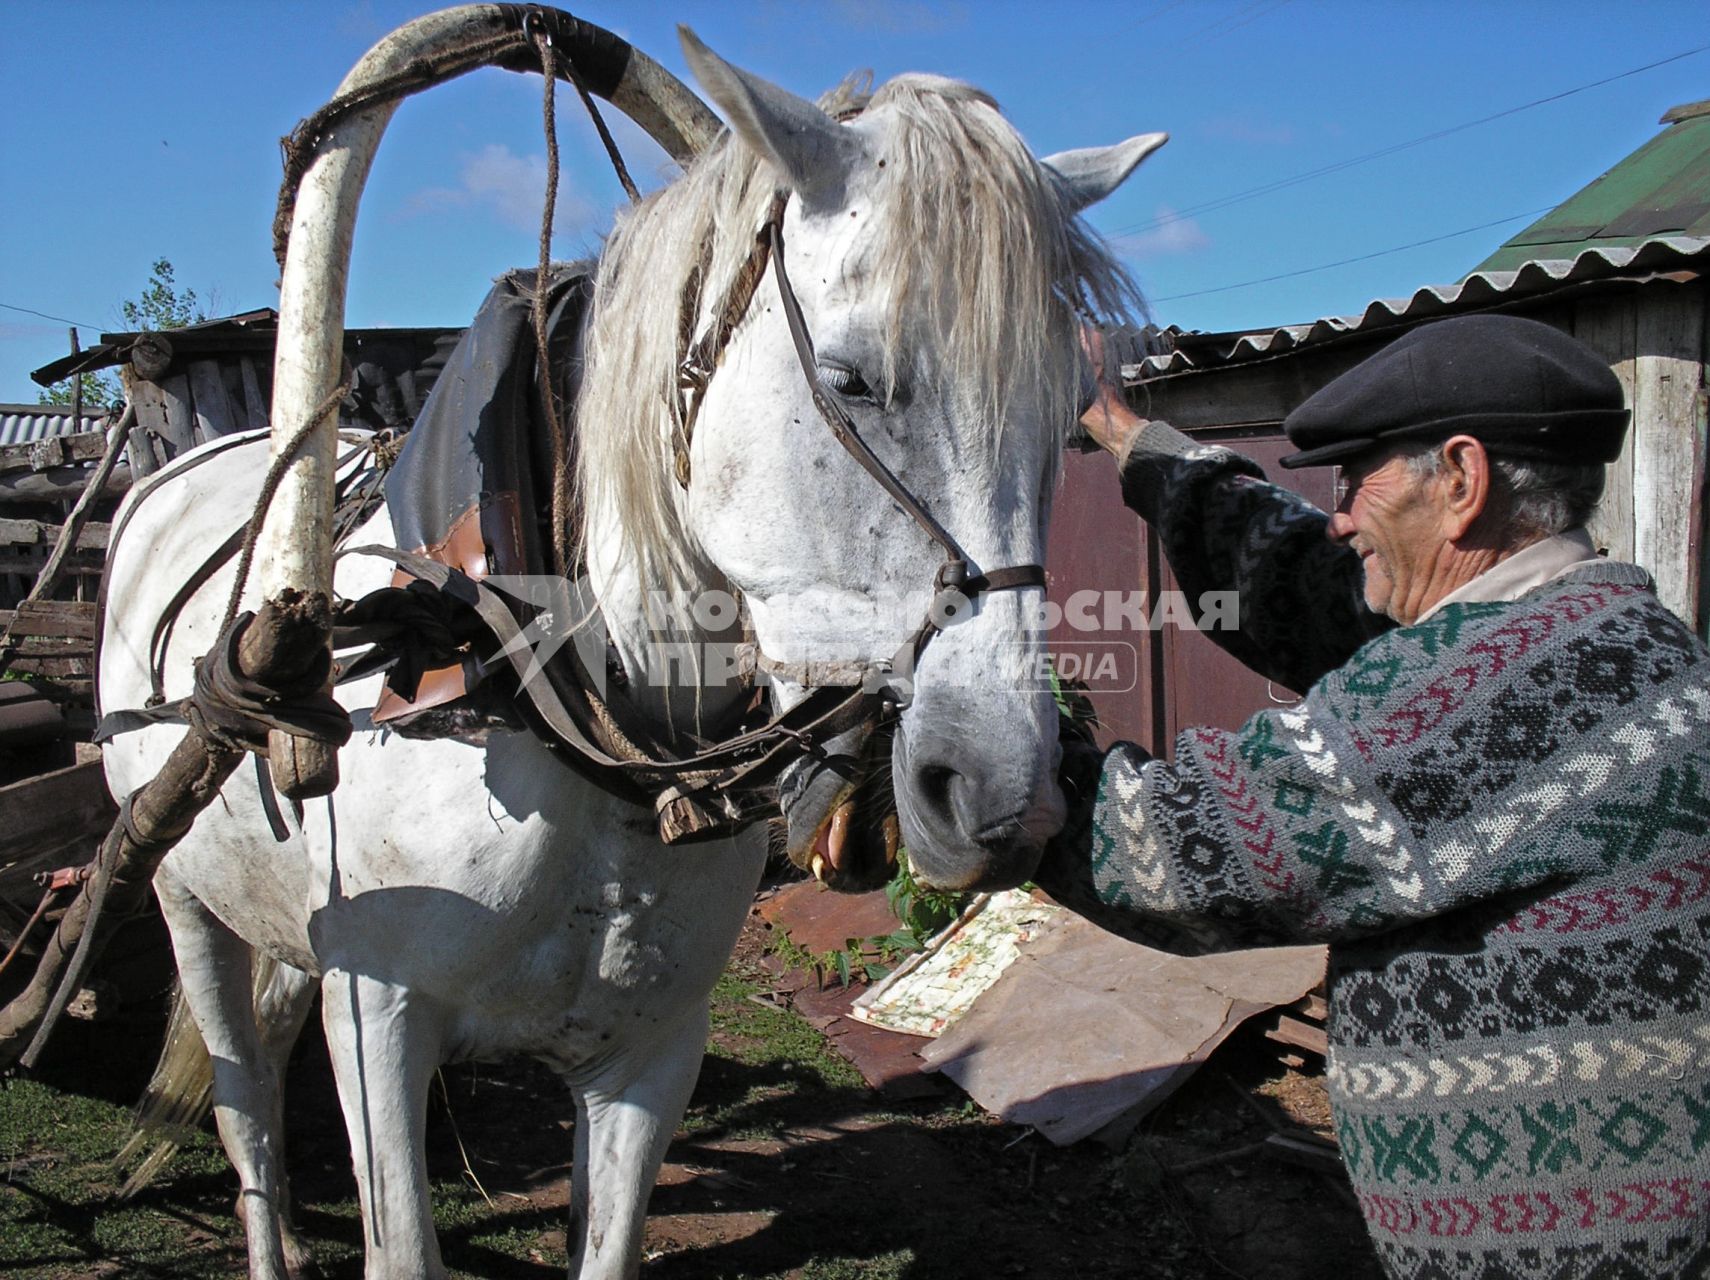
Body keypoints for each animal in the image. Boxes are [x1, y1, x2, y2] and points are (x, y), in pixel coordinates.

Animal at [97, 29, 1162, 1278]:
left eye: (1067, 411)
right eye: (852, 380)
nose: (1003, 792)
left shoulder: (652, 1051)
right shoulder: (374, 1018)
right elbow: (393, 1233)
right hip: (184, 900)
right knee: (247, 1105)